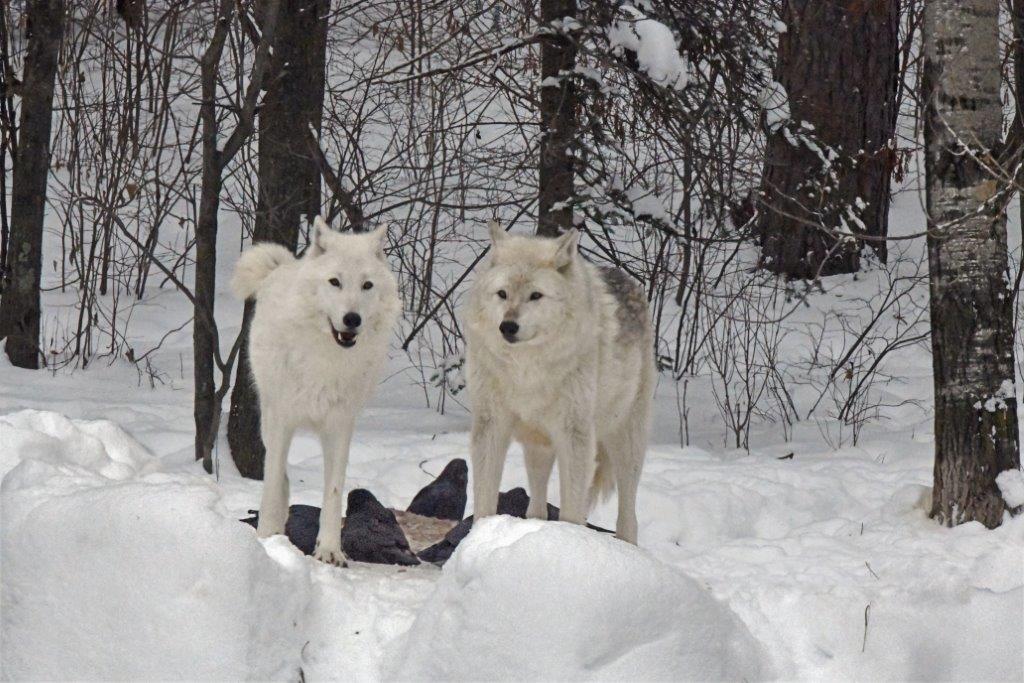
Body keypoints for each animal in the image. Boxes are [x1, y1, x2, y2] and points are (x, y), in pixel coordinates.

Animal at [231, 216, 400, 566]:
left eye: (367, 285)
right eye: (335, 282)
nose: (352, 319)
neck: (327, 359)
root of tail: (285, 265)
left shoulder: (340, 426)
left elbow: (333, 493)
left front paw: (329, 550)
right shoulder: (282, 420)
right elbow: (272, 483)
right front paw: (266, 542)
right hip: (269, 420)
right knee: (279, 476)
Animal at [464, 222, 655, 544]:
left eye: (536, 295)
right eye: (502, 294)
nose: (507, 326)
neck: (527, 369)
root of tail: (628, 281)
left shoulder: (574, 435)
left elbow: (573, 509)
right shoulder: (490, 426)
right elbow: (484, 497)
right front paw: (479, 538)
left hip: (625, 442)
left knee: (629, 517)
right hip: (537, 445)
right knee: (537, 506)